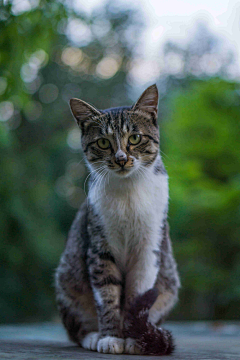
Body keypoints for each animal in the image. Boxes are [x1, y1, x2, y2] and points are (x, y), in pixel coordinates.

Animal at [55, 83, 180, 354]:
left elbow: (137, 296)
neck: (128, 194)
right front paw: (111, 337)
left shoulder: (150, 248)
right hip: (67, 278)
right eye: (103, 142)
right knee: (76, 329)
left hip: (170, 282)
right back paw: (92, 337)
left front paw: (134, 339)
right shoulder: (99, 246)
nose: (121, 159)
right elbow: (107, 295)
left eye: (135, 138)